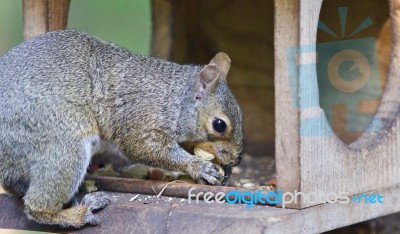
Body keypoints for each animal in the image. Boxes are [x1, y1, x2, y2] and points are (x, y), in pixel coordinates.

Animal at [0, 30, 244, 228]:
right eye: (219, 125)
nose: (238, 159)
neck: (174, 99)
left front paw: (224, 170)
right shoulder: (140, 119)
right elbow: (143, 148)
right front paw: (199, 167)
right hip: (63, 140)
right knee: (36, 206)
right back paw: (79, 213)